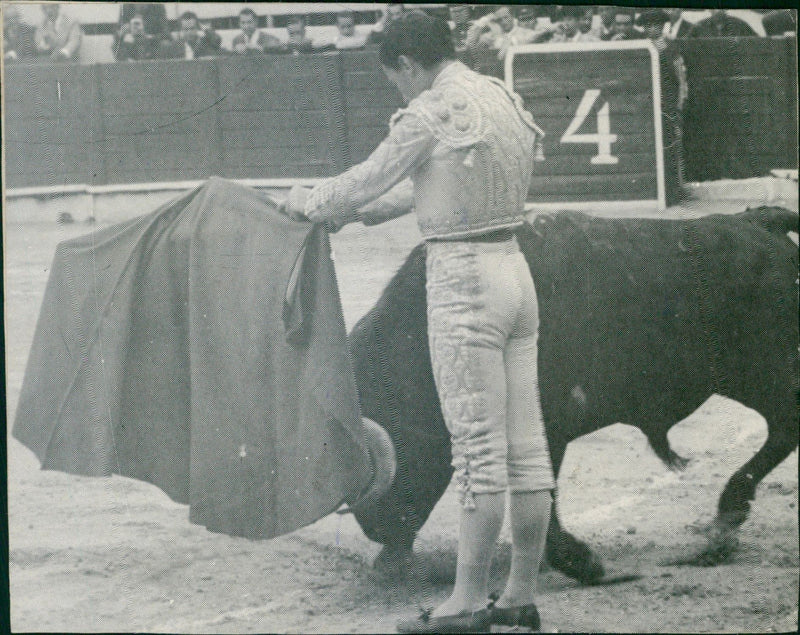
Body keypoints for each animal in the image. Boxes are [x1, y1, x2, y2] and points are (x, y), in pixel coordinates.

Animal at [346, 206, 796, 584]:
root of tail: (757, 221)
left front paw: (581, 562)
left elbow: (540, 496)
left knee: (786, 427)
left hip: (763, 374)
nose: (376, 530)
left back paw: (725, 518)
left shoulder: (541, 427)